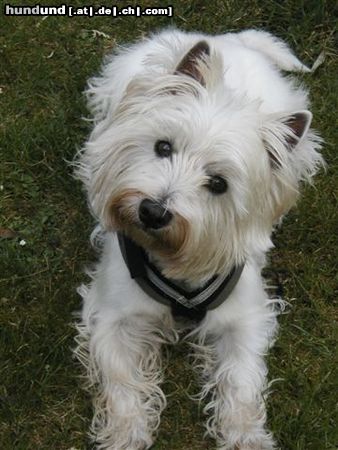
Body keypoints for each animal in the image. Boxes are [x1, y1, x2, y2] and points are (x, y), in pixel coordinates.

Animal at [73, 29, 322, 450]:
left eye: (218, 184)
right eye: (163, 147)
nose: (153, 211)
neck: (173, 261)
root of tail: (233, 40)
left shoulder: (244, 318)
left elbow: (241, 382)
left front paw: (246, 437)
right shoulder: (114, 314)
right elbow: (122, 380)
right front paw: (126, 433)